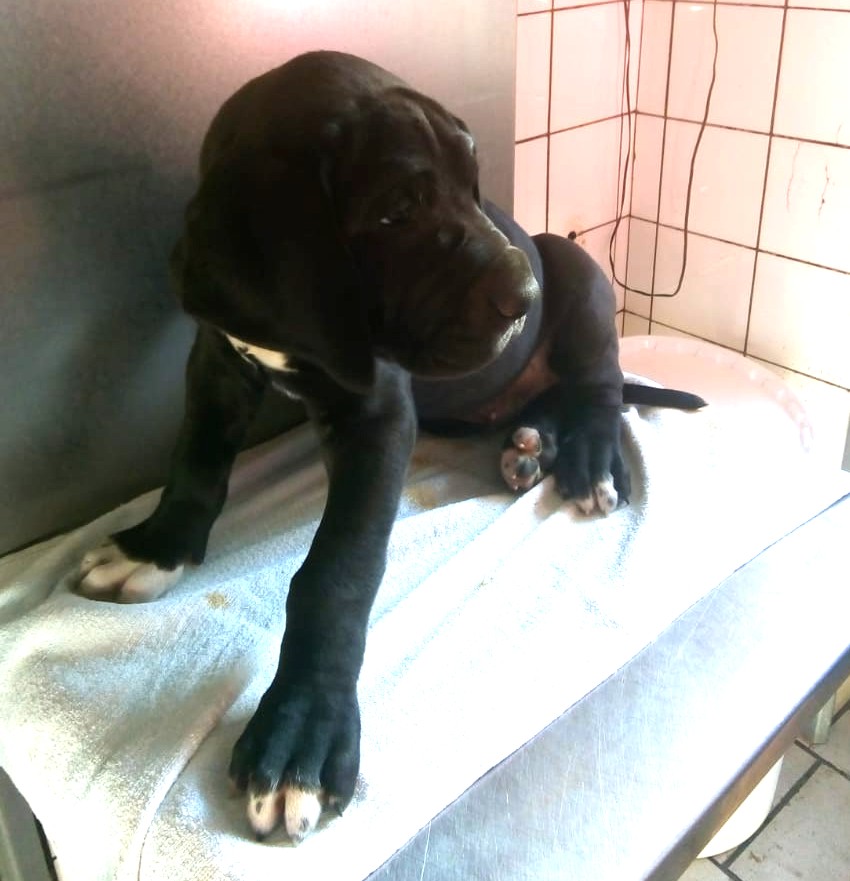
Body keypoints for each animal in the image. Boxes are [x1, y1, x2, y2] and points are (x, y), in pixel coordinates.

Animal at [76, 50, 704, 843]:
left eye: (473, 183)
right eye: (393, 212)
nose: (523, 297)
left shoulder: (377, 413)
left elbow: (336, 573)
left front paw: (303, 730)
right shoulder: (217, 358)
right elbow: (195, 459)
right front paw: (157, 545)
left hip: (577, 270)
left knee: (602, 387)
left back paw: (588, 458)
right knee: (552, 400)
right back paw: (530, 444)